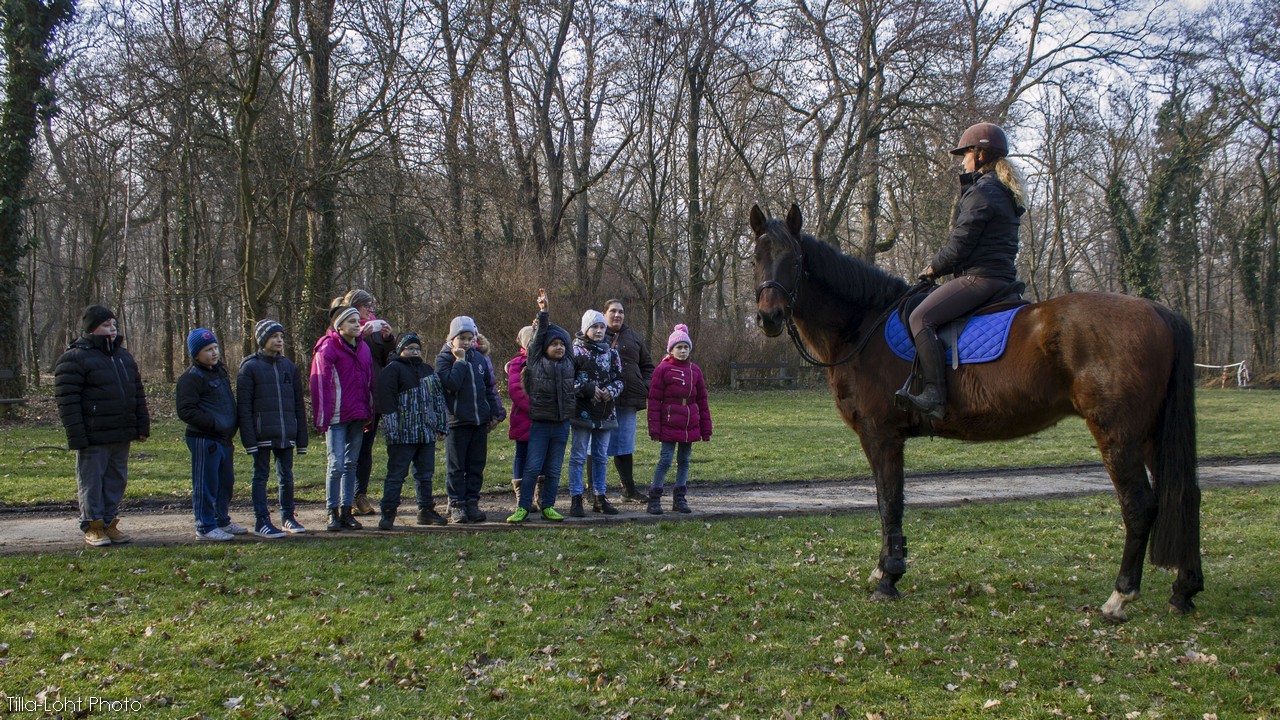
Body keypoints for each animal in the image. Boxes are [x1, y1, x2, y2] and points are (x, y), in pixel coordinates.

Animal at [747, 202, 1203, 617]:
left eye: (795, 260)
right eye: (756, 258)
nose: (769, 317)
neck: (863, 326)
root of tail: (1159, 310)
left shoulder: (882, 435)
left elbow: (889, 501)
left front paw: (889, 577)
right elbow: (883, 500)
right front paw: (883, 568)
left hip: (1117, 434)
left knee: (1139, 505)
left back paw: (1120, 595)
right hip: (1151, 434)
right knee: (1185, 495)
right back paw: (1184, 590)